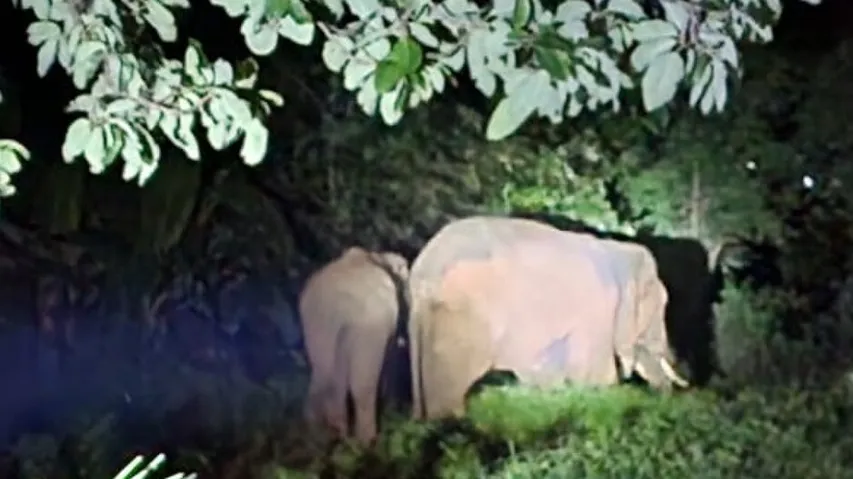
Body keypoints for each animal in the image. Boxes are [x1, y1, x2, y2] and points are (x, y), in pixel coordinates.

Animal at [299, 246, 409, 444]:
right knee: (362, 384)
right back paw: (367, 441)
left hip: (316, 325)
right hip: (368, 324)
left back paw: (328, 436)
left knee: (325, 375)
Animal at [407, 215, 688, 420]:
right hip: (464, 321)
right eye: (660, 307)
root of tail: (423, 272)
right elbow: (596, 377)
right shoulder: (596, 312)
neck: (618, 251)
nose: (663, 404)